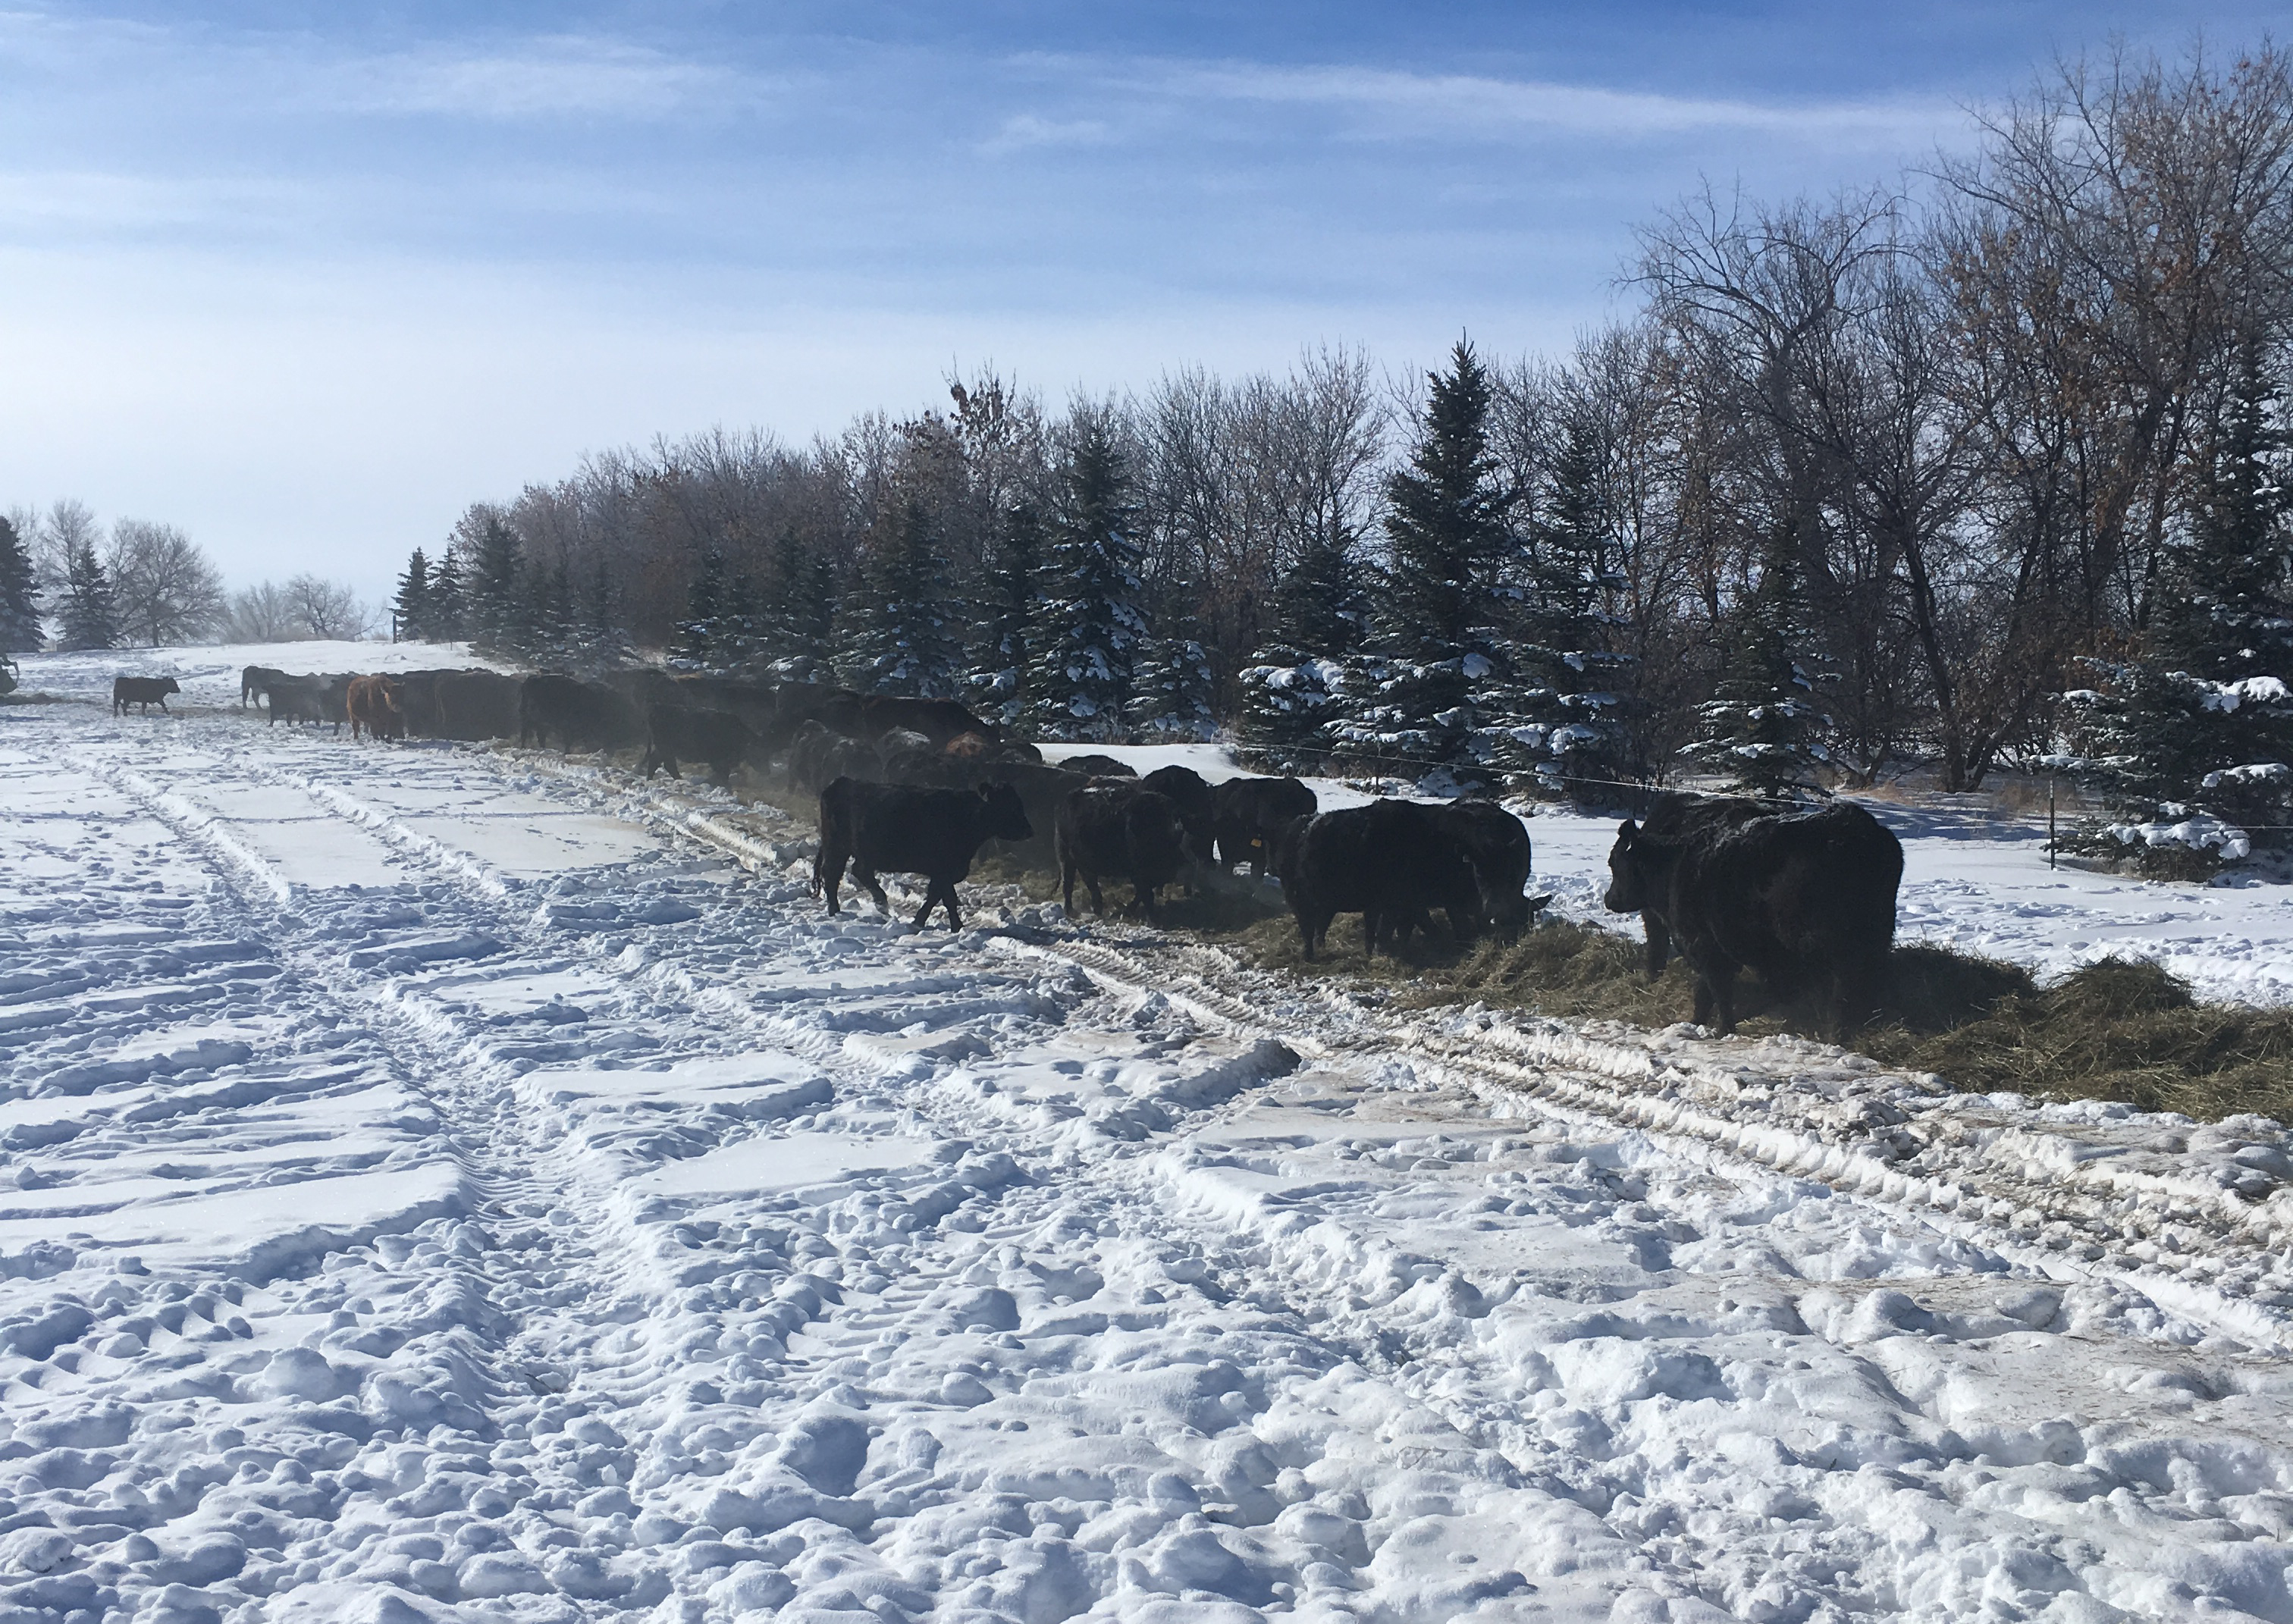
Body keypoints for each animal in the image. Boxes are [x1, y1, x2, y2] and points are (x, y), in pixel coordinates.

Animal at [641, 701, 756, 784]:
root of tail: (657, 707)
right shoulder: (718, 759)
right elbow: (723, 774)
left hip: (665, 749)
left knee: (660, 762)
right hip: (665, 749)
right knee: (663, 763)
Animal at [816, 784, 1031, 931]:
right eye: (1009, 806)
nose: (1029, 830)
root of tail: (841, 783)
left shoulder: (946, 871)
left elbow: (939, 896)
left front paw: (930, 921)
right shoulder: (944, 870)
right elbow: (946, 898)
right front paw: (950, 925)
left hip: (858, 851)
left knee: (858, 871)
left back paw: (878, 903)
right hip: (837, 846)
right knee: (833, 874)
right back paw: (836, 910)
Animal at [1055, 788, 1192, 926]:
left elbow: (1143, 893)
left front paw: (1127, 912)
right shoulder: (1138, 871)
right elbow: (1146, 895)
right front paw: (1152, 921)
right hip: (1066, 855)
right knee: (1070, 884)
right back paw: (1072, 911)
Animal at [1604, 798, 1907, 1041]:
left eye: (1615, 864)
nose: (1608, 900)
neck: (1674, 868)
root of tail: (1858, 826)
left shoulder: (1705, 946)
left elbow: (1716, 993)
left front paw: (1722, 1029)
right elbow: (1707, 992)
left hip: (1835, 943)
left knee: (1844, 988)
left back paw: (1836, 1033)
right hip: (1876, 936)